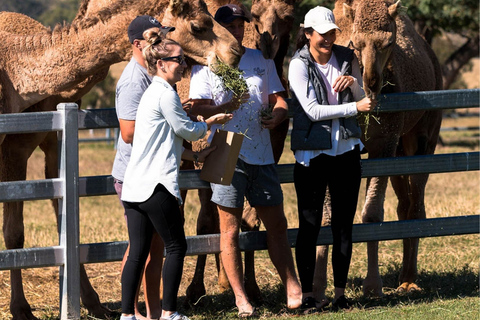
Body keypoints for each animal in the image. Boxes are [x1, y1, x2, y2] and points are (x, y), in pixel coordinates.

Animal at [0, 1, 240, 318]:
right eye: (199, 25)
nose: (236, 50)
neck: (15, 71)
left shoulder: (35, 142)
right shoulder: (13, 148)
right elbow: (14, 230)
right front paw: (20, 309)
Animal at [312, 0, 442, 302]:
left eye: (389, 42)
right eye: (355, 43)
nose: (372, 82)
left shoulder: (383, 143)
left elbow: (371, 214)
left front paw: (372, 285)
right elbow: (327, 216)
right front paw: (319, 288)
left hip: (423, 136)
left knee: (416, 204)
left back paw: (409, 281)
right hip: (400, 148)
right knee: (404, 205)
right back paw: (404, 277)